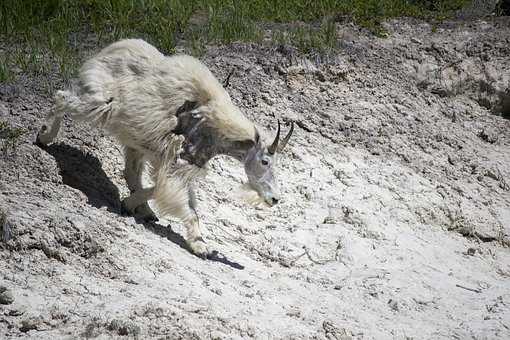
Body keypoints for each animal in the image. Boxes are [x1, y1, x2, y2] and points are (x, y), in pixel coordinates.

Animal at [36, 39, 294, 258]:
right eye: (265, 161)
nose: (274, 199)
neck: (215, 127)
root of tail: (110, 49)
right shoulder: (177, 162)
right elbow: (182, 201)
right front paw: (201, 247)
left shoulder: (179, 162)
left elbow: (170, 192)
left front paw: (132, 205)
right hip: (100, 103)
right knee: (62, 98)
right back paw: (44, 135)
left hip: (134, 140)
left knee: (131, 172)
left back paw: (145, 211)